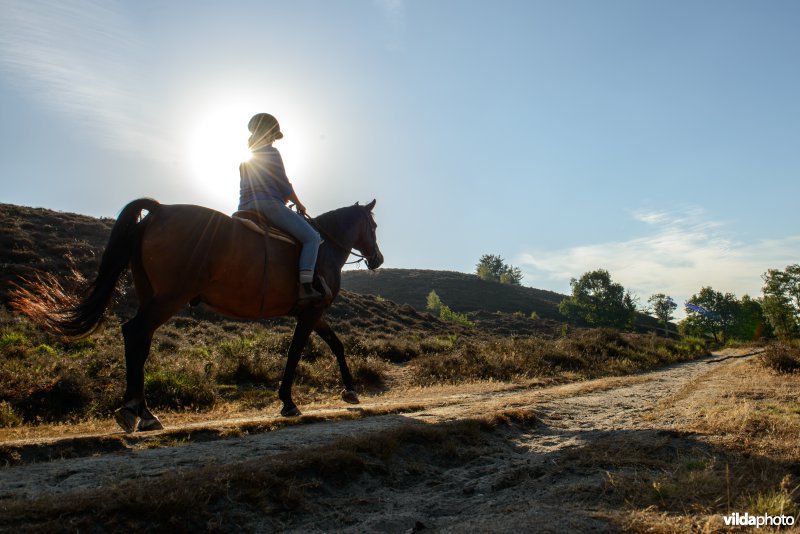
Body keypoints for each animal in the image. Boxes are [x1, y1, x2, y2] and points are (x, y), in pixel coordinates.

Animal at [17, 198, 383, 432]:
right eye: (374, 225)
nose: (378, 259)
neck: (325, 246)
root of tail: (159, 211)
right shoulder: (310, 312)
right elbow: (295, 354)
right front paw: (288, 402)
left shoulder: (313, 313)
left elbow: (336, 345)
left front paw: (350, 390)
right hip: (171, 296)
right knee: (135, 333)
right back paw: (137, 411)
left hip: (153, 295)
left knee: (140, 340)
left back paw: (142, 412)